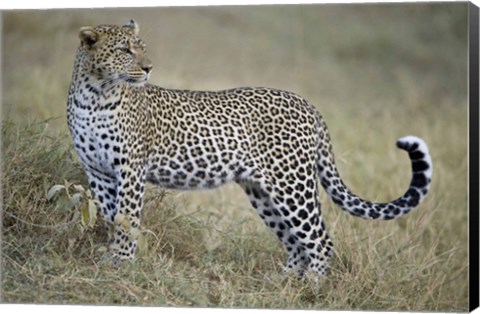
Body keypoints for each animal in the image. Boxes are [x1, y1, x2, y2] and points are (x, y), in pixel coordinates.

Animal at [66, 19, 432, 280]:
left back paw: (311, 287)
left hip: (292, 185)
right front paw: (111, 255)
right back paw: (284, 281)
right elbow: (110, 216)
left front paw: (122, 261)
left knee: (319, 240)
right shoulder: (97, 171)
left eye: (141, 48)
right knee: (295, 241)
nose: (148, 68)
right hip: (263, 191)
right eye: (125, 50)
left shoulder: (131, 169)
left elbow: (127, 217)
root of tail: (307, 104)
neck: (95, 94)